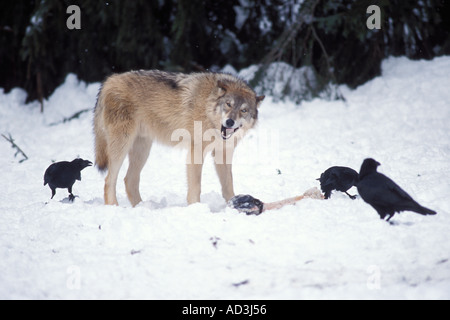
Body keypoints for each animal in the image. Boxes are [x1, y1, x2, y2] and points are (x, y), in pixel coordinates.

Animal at [93, 70, 266, 206]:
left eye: (244, 110)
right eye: (228, 104)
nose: (229, 122)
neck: (207, 107)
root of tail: (109, 80)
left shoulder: (223, 154)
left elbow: (228, 185)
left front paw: (234, 205)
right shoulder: (196, 152)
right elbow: (196, 186)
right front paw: (196, 208)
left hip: (142, 150)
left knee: (129, 180)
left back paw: (142, 207)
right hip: (122, 146)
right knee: (109, 180)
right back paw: (114, 207)